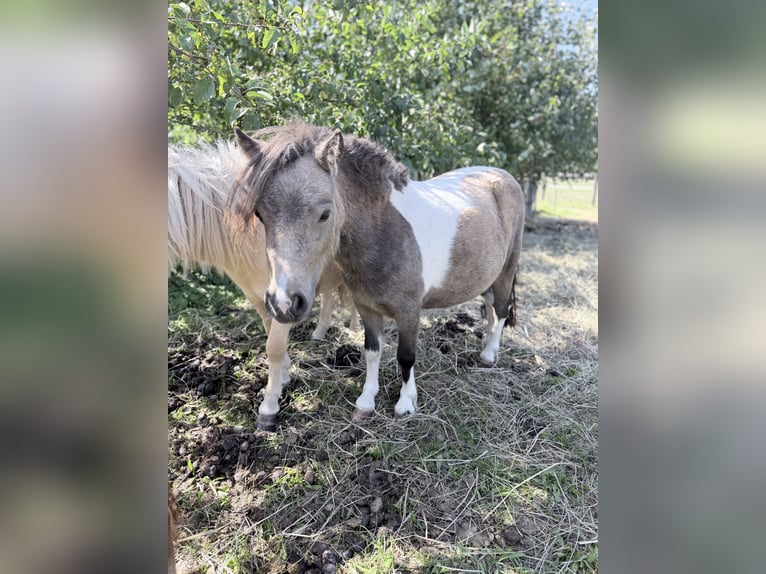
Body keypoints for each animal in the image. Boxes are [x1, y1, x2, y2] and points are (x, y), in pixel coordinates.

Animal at [168, 140, 359, 430]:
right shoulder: (260, 298)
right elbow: (270, 337)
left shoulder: (284, 299)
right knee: (328, 298)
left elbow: (274, 347)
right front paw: (284, 377)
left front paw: (269, 407)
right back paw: (320, 332)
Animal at [229, 121, 524, 421]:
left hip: (507, 269)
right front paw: (366, 402)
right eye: (260, 214)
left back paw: (488, 355)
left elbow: (406, 356)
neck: (384, 232)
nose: (284, 303)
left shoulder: (409, 310)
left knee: (501, 309)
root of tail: (501, 175)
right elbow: (372, 351)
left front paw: (405, 404)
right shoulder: (366, 307)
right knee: (491, 306)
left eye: (325, 214)